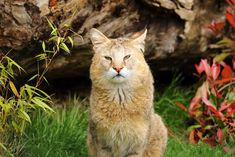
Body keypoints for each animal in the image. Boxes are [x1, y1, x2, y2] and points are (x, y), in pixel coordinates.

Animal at [87, 28, 167, 157]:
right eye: (108, 58)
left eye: (127, 57)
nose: (118, 68)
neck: (120, 99)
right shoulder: (102, 143)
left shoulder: (136, 146)